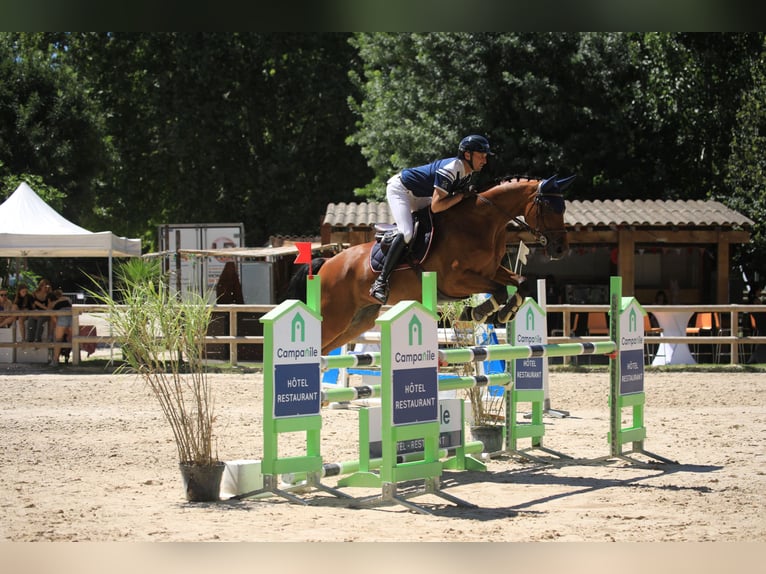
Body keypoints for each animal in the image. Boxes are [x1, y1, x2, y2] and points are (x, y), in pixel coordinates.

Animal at [292, 176, 572, 356]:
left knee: (326, 349)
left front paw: (505, 313)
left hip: (358, 321)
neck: (482, 223)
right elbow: (499, 291)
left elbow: (521, 284)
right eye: (549, 206)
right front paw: (477, 312)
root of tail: (327, 264)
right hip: (336, 315)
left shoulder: (491, 271)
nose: (560, 249)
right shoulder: (455, 280)